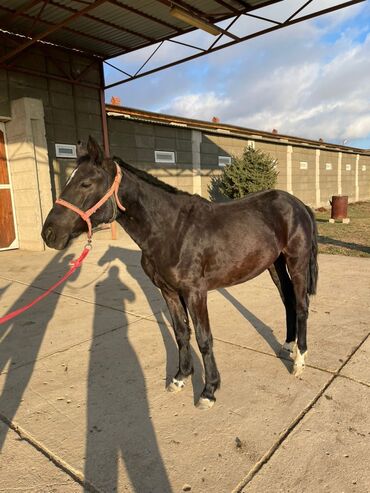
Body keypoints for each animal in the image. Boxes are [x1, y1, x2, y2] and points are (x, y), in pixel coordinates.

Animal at [41, 136, 318, 410]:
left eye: (85, 183)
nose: (49, 233)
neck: (172, 230)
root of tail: (297, 204)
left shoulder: (195, 292)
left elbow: (204, 338)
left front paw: (209, 390)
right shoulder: (169, 291)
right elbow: (181, 333)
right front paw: (180, 377)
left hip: (296, 262)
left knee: (301, 305)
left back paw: (299, 361)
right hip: (274, 264)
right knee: (288, 301)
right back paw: (288, 346)